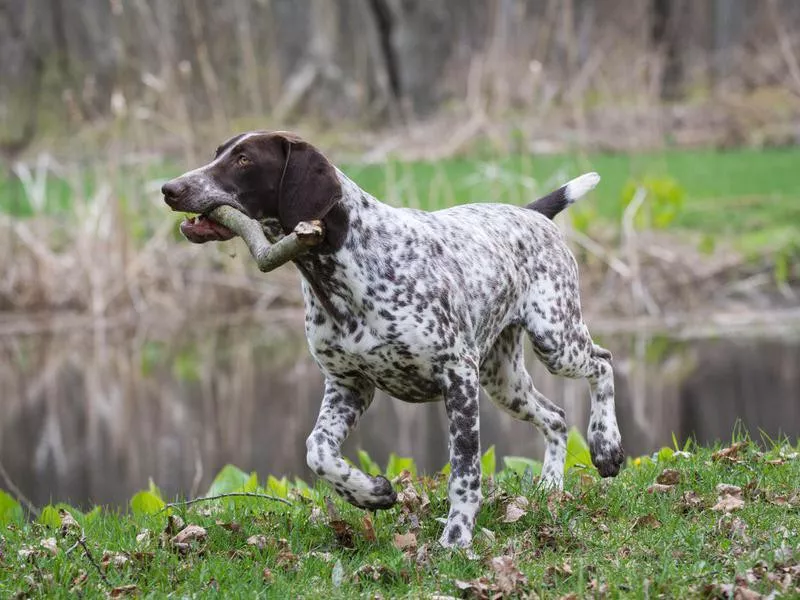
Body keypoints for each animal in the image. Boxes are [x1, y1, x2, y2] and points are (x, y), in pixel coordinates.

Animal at [162, 130, 624, 548]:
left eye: (244, 160)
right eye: (218, 153)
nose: (170, 189)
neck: (342, 267)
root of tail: (531, 213)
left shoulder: (458, 377)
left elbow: (465, 471)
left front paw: (456, 538)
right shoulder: (348, 385)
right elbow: (318, 451)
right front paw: (370, 493)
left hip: (554, 340)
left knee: (602, 363)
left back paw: (606, 446)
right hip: (503, 380)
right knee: (557, 417)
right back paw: (550, 487)